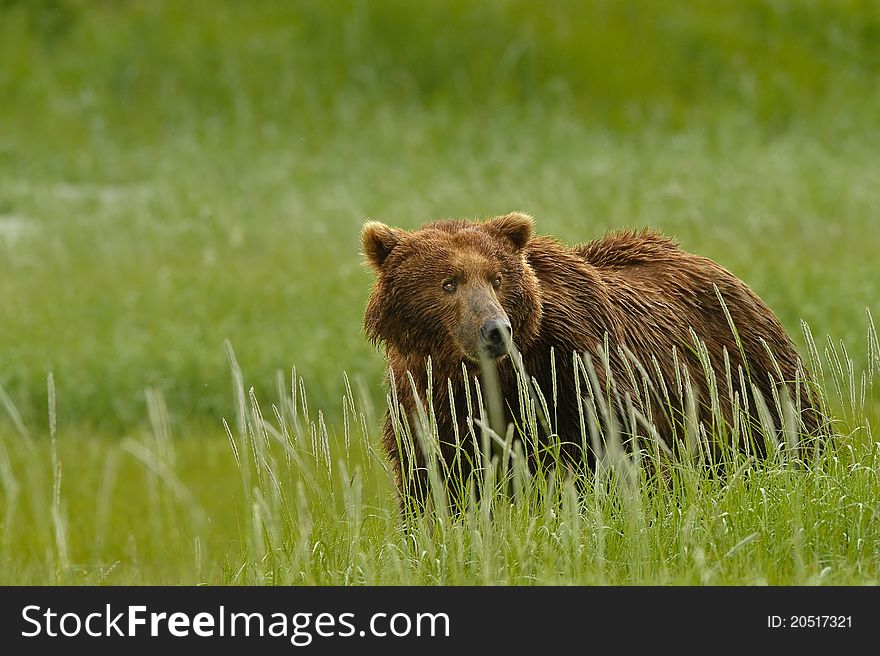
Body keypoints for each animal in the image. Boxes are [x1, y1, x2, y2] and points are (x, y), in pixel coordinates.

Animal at [360, 213, 824, 510]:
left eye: (497, 277)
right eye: (448, 282)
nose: (495, 329)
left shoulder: (576, 373)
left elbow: (623, 459)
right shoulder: (428, 403)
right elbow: (433, 481)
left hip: (753, 380)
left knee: (798, 437)